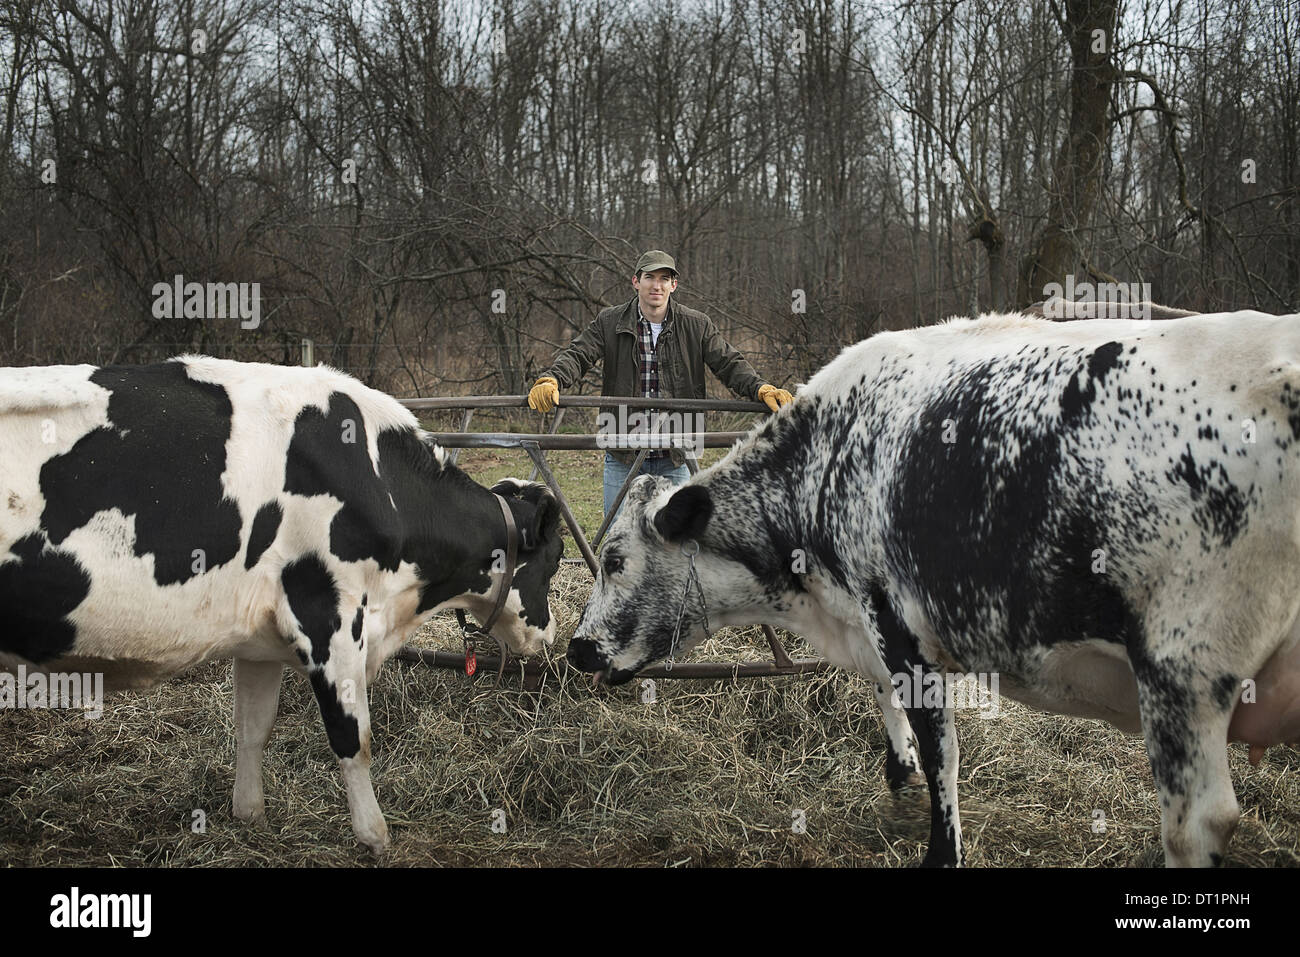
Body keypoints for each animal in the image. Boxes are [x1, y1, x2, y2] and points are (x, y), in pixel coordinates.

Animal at [0, 358, 561, 852]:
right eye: (554, 561)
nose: (550, 633)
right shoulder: (331, 618)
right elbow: (353, 739)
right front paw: (375, 836)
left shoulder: (258, 640)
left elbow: (253, 729)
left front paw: (250, 816)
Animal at [569, 312, 1300, 868]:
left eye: (614, 559)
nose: (576, 649)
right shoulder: (870, 622)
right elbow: (884, 699)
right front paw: (899, 778)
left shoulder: (897, 619)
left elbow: (940, 749)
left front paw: (939, 848)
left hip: (1181, 672)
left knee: (1199, 823)